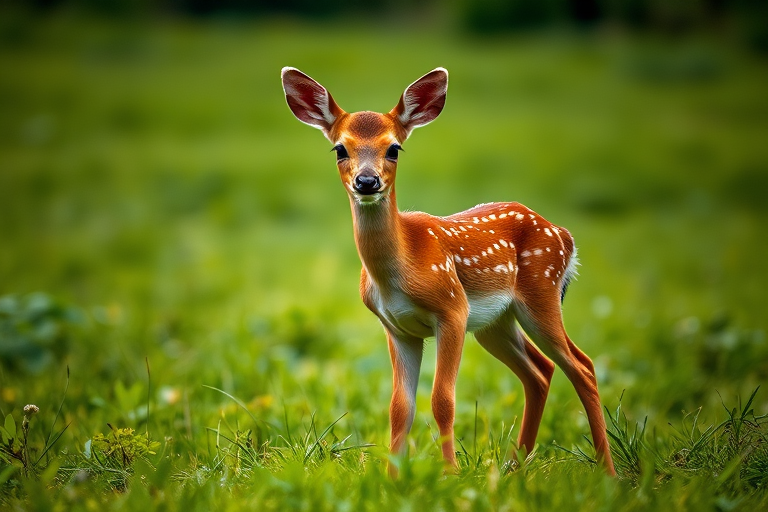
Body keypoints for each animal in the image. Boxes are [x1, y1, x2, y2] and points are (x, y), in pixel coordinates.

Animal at [281, 66, 616, 477]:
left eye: (394, 148)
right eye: (340, 149)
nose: (367, 181)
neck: (398, 270)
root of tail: (565, 236)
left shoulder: (452, 310)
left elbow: (443, 399)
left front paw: (451, 475)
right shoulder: (397, 328)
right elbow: (399, 408)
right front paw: (393, 478)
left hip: (541, 290)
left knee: (582, 366)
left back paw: (609, 472)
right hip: (495, 322)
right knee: (541, 371)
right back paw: (513, 467)